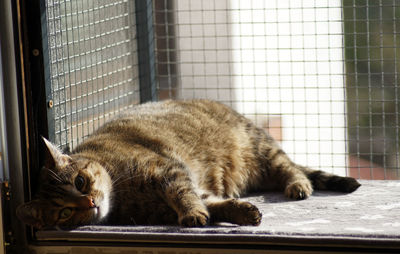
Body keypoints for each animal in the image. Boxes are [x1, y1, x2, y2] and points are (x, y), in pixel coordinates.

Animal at [16, 99, 360, 228]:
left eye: (80, 182)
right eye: (63, 212)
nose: (89, 202)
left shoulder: (169, 172)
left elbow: (185, 195)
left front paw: (193, 214)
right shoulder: (178, 193)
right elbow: (212, 203)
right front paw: (238, 211)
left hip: (260, 149)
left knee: (291, 168)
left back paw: (298, 185)